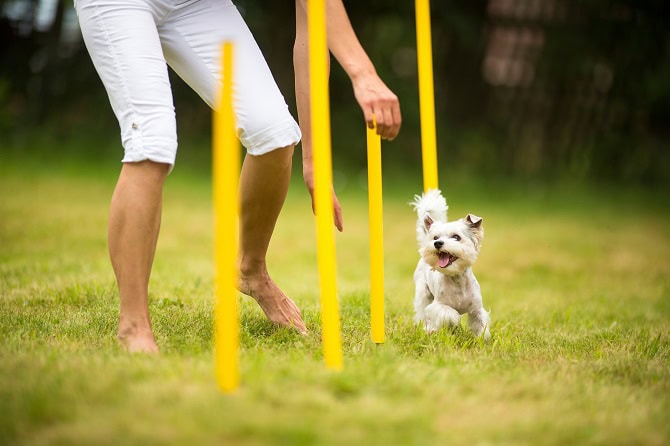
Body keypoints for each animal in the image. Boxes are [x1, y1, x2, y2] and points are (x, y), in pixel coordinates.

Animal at [412, 187, 490, 338]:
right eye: (435, 237)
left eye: (456, 237)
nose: (437, 243)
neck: (456, 278)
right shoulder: (437, 306)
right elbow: (449, 313)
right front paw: (452, 322)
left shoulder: (477, 309)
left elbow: (481, 324)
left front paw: (481, 339)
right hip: (423, 293)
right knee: (423, 313)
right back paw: (428, 329)